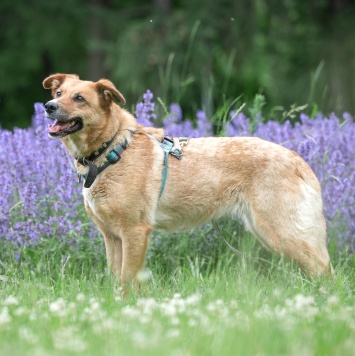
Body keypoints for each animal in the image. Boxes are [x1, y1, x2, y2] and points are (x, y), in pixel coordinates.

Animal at [43, 73, 336, 294]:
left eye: (79, 98)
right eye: (59, 93)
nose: (48, 106)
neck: (111, 149)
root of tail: (298, 159)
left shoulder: (135, 232)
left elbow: (128, 280)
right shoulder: (112, 237)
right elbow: (116, 280)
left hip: (281, 232)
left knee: (325, 270)